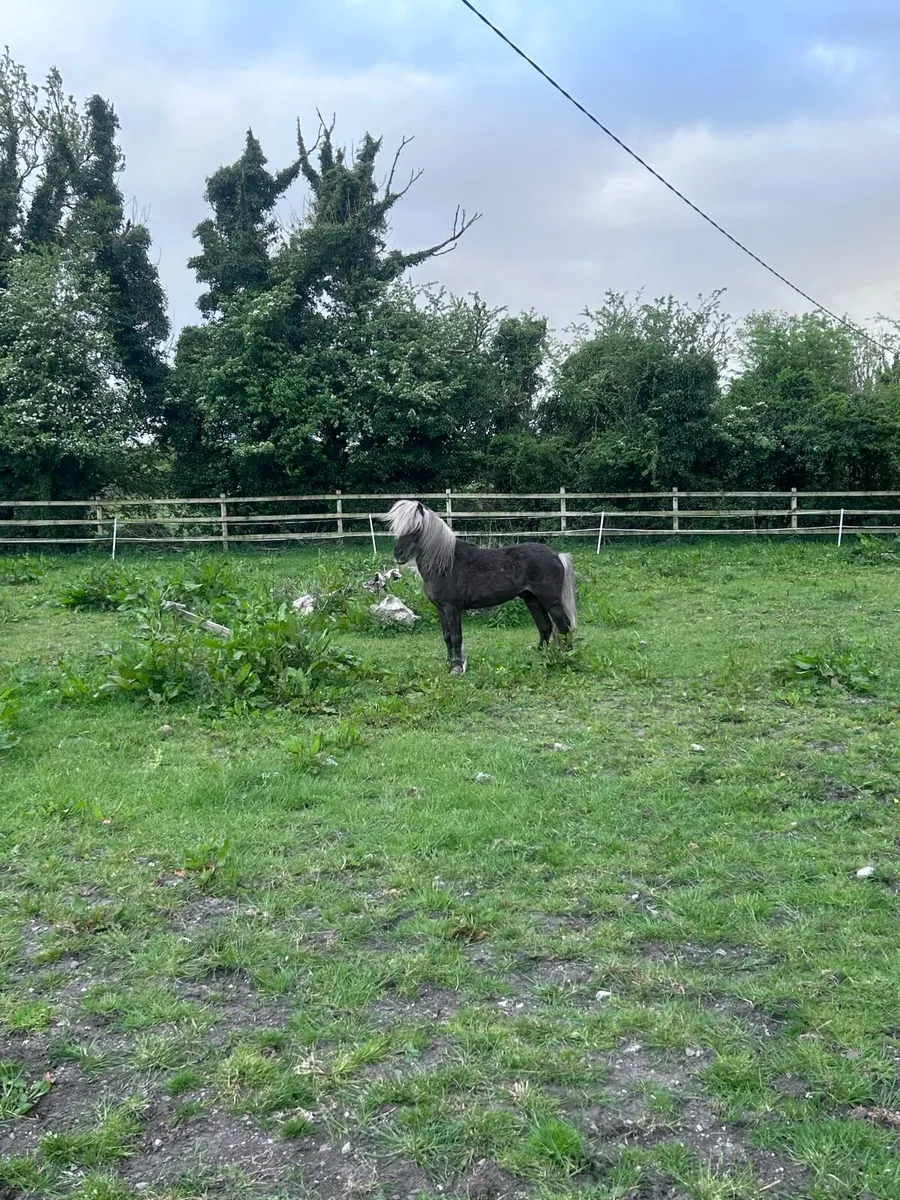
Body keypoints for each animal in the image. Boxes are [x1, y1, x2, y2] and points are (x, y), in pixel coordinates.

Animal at [384, 499, 577, 674]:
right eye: (398, 529)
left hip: (550, 600)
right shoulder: (440, 609)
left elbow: (456, 637)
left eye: (416, 528)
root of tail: (556, 556)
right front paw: (449, 664)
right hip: (532, 599)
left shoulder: (452, 608)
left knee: (564, 626)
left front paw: (456, 668)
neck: (445, 563)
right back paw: (539, 657)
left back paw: (567, 658)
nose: (398, 554)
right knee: (545, 627)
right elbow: (447, 637)